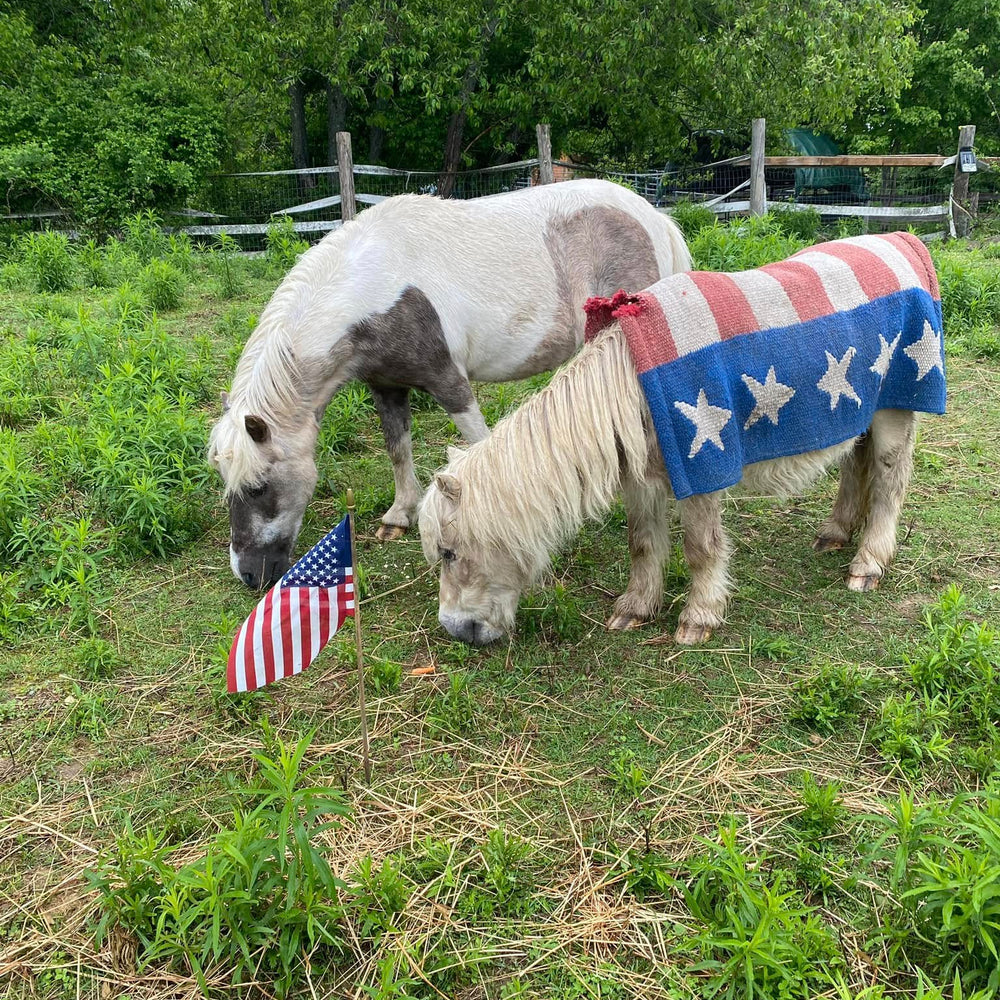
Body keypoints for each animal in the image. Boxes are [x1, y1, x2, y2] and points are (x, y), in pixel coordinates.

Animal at [207, 179, 690, 589]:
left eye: (259, 487)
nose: (249, 575)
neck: (377, 285)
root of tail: (654, 217)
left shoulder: (449, 382)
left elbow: (479, 444)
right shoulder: (386, 386)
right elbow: (398, 448)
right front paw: (399, 516)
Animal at [418, 232, 946, 645]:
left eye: (449, 552)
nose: (456, 630)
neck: (634, 387)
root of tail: (905, 244)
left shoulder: (703, 467)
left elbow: (700, 547)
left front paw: (699, 617)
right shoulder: (642, 477)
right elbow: (642, 542)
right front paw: (635, 608)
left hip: (895, 405)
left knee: (890, 480)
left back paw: (868, 564)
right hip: (860, 409)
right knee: (855, 465)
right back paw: (835, 533)